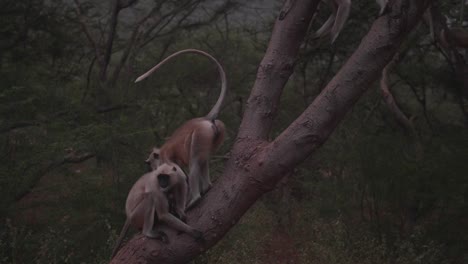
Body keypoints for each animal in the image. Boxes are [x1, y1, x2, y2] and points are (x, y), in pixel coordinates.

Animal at [135, 49, 227, 209]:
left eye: (150, 163)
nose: (152, 169)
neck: (161, 151)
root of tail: (205, 119)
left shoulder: (166, 159)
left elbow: (182, 177)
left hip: (200, 134)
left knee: (195, 162)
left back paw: (195, 198)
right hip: (214, 133)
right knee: (203, 160)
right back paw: (206, 188)